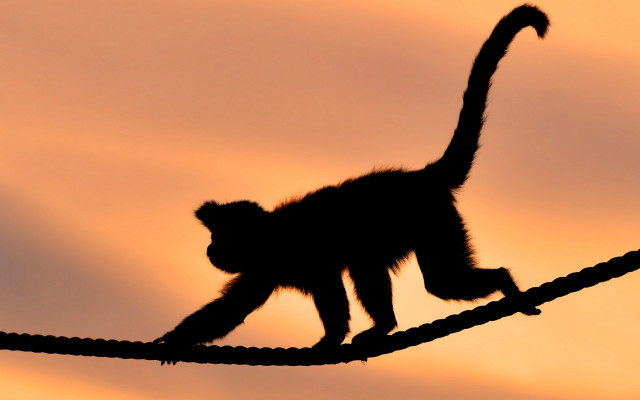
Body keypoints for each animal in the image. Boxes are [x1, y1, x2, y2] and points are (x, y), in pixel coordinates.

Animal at [154, 5, 549, 351]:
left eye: (217, 237)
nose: (209, 249)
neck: (269, 235)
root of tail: (421, 177)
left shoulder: (298, 249)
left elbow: (328, 281)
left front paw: (333, 337)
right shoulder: (266, 266)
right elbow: (233, 309)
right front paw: (172, 341)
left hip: (430, 217)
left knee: (408, 272)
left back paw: (491, 285)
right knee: (424, 276)